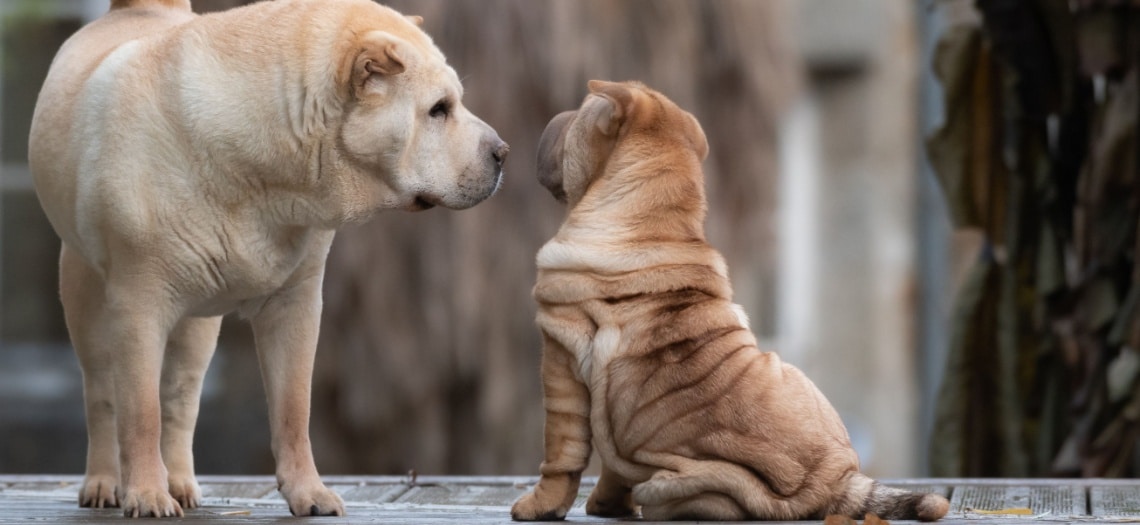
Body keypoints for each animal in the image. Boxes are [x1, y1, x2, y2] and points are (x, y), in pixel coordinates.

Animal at [27, 0, 508, 514]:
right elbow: (139, 412)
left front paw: (308, 493)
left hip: (198, 330)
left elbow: (293, 409)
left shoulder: (295, 304)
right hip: (85, 297)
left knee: (180, 400)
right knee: (103, 395)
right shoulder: (139, 305)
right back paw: (106, 484)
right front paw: (147, 495)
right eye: (438, 110)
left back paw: (180, 483)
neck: (267, 169)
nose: (503, 152)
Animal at [513, 80, 948, 519]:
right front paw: (607, 503)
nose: (557, 115)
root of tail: (835, 486)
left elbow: (562, 452)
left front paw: (539, 505)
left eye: (580, 113)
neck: (651, 223)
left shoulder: (559, 356)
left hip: (669, 488)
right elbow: (612, 463)